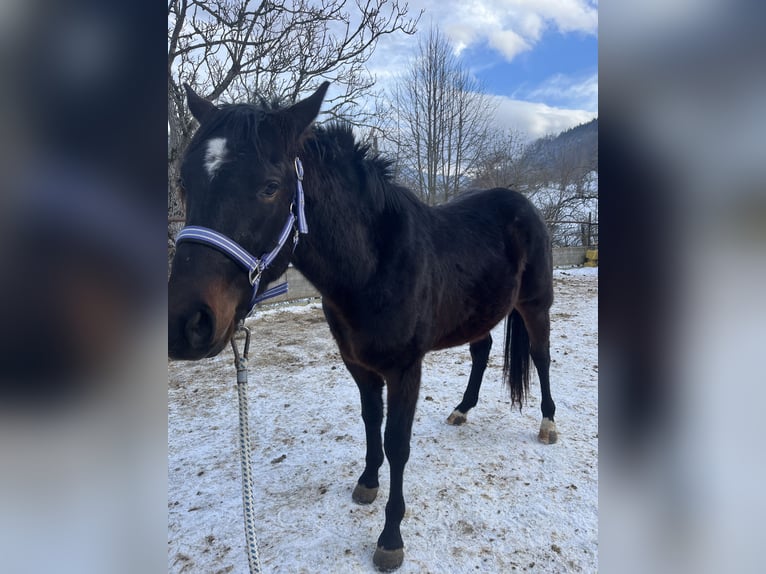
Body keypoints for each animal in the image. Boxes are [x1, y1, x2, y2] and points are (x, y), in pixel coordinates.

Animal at [168, 82, 557, 571]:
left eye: (270, 187)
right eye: (185, 181)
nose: (185, 323)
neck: (372, 267)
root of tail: (525, 205)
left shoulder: (406, 369)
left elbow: (397, 443)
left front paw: (390, 538)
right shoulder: (359, 365)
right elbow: (372, 422)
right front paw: (368, 483)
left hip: (535, 307)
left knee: (540, 357)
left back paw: (548, 423)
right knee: (481, 350)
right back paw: (462, 409)